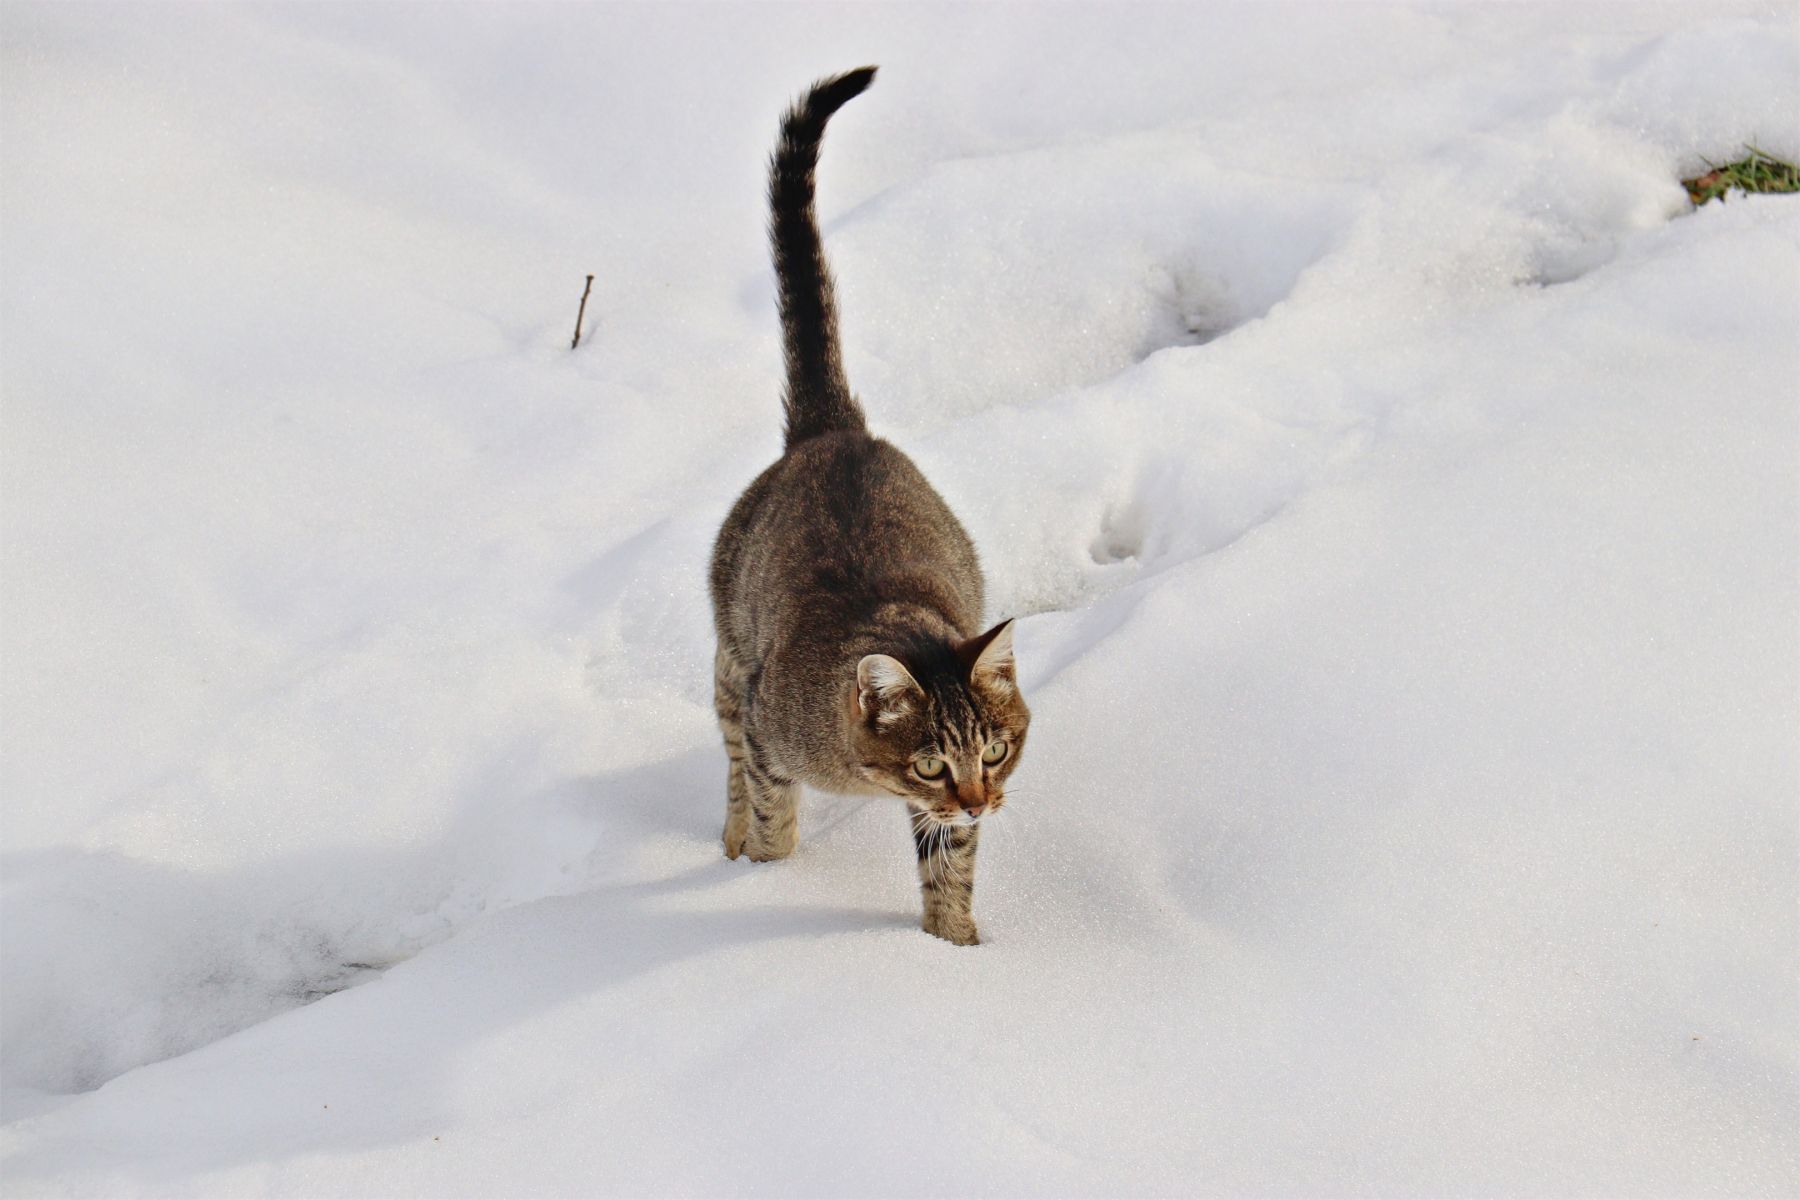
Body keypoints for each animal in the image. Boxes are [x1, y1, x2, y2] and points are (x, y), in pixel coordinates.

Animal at [709, 65, 1036, 949]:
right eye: (929, 762)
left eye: (995, 753)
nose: (981, 801)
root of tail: (834, 429)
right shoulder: (769, 724)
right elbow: (770, 808)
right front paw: (767, 876)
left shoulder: (947, 821)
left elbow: (949, 870)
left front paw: (953, 948)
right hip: (731, 645)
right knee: (727, 740)